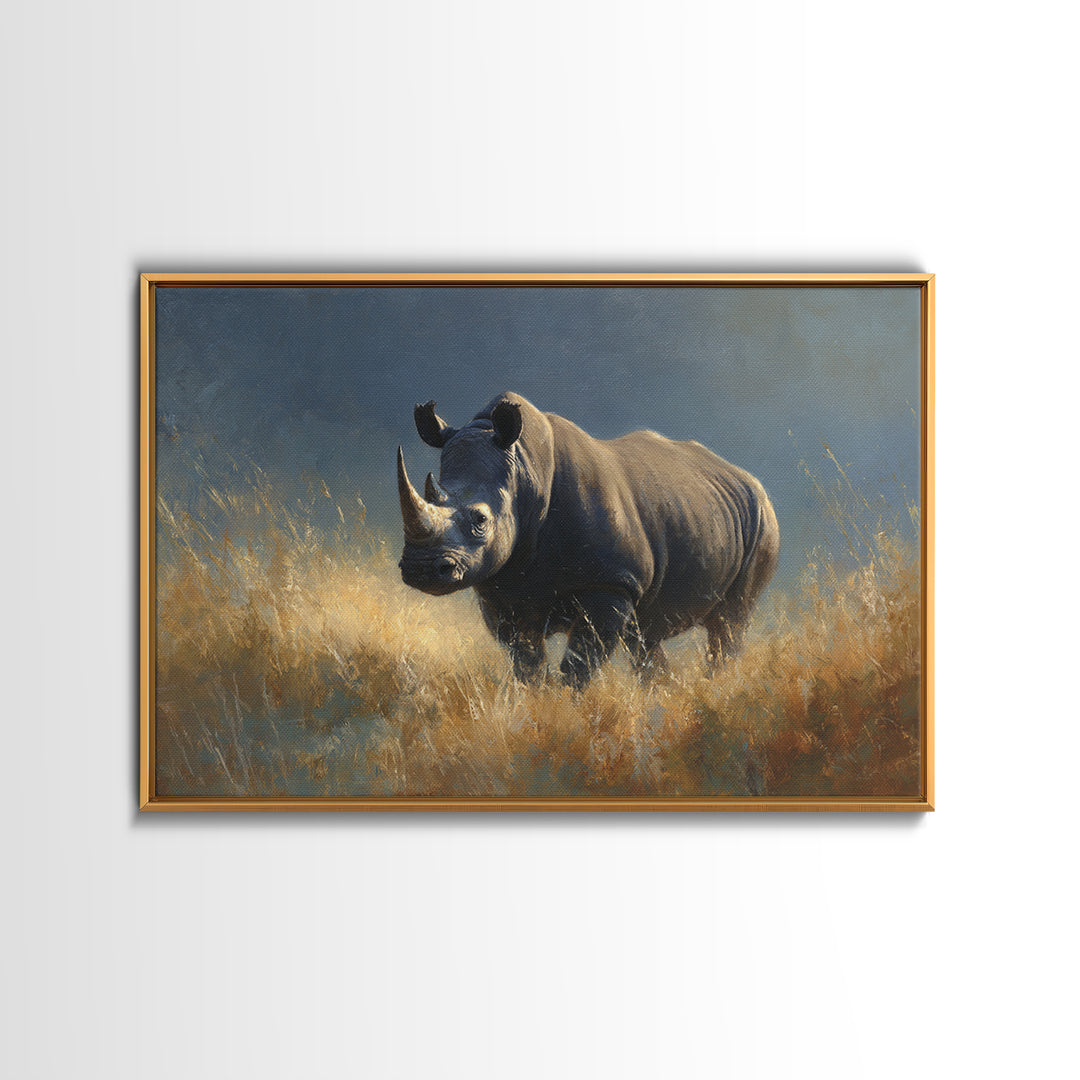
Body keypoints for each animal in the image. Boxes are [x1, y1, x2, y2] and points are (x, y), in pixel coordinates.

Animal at [397, 392, 779, 689]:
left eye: (480, 521)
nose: (420, 569)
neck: (524, 473)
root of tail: (746, 477)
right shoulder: (502, 591)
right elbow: (526, 663)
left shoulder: (611, 582)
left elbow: (578, 664)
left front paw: (569, 710)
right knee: (644, 636)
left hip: (763, 520)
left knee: (729, 623)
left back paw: (716, 688)